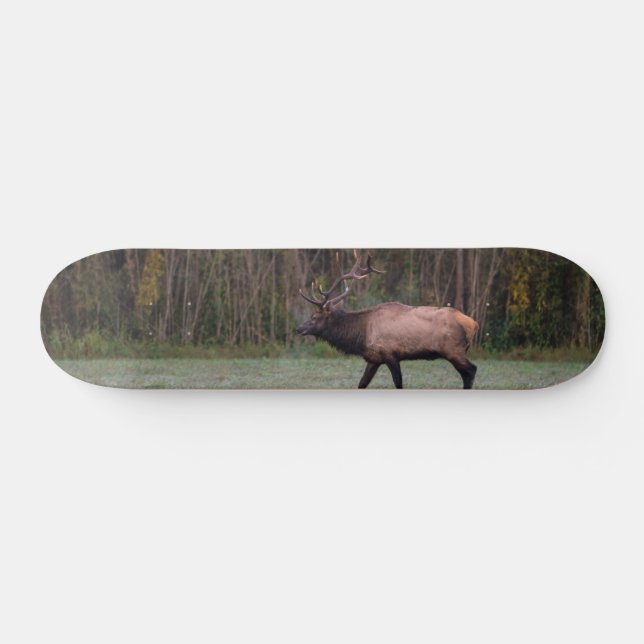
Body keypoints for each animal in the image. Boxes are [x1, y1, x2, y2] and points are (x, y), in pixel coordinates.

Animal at [296, 252, 479, 389]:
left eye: (314, 317)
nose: (298, 328)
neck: (361, 335)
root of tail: (473, 324)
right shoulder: (374, 359)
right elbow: (361, 384)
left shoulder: (390, 354)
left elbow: (398, 383)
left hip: (453, 350)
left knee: (471, 371)